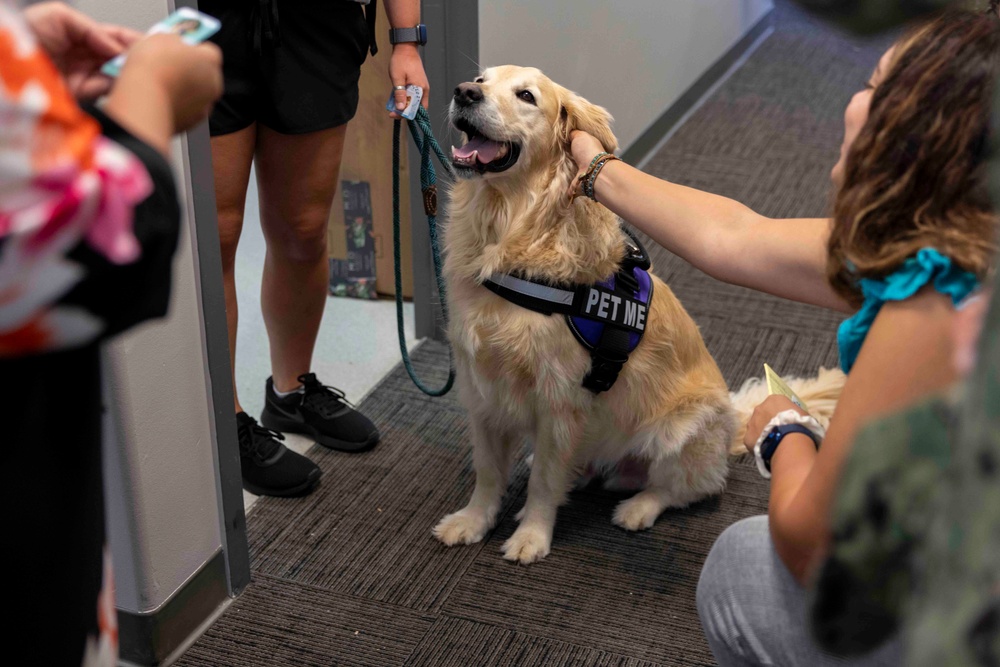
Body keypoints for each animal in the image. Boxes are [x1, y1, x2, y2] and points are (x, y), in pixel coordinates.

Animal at [434, 66, 840, 564]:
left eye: (526, 96)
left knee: (686, 488)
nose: (464, 94)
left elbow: (544, 482)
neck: (511, 228)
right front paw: (473, 521)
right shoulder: (482, 389)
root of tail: (734, 421)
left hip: (682, 430)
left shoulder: (560, 400)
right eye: (480, 78)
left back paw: (638, 508)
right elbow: (488, 471)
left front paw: (532, 535)